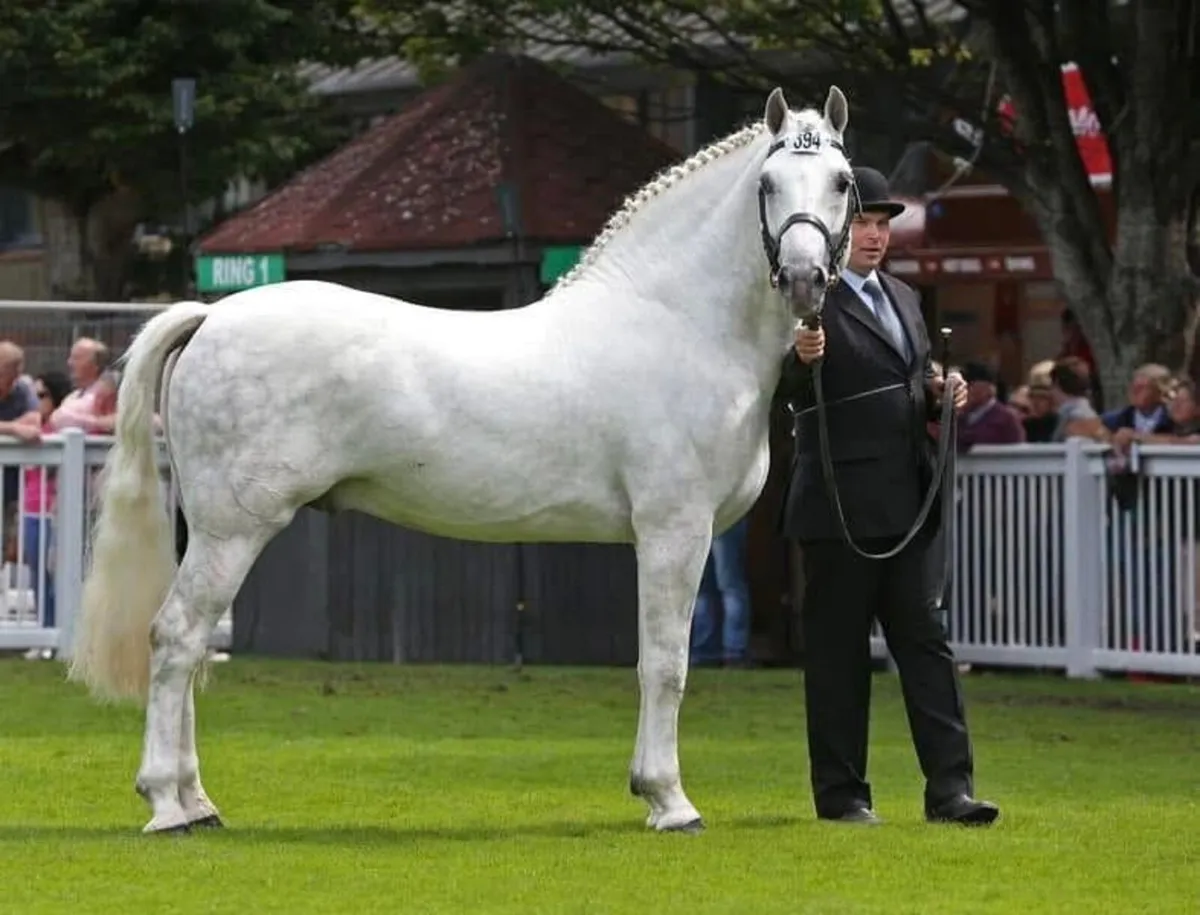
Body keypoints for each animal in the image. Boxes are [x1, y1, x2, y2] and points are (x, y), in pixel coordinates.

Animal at [68, 84, 859, 835]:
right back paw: (167, 804)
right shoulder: (674, 531)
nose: (804, 279)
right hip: (234, 529)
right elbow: (665, 664)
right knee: (175, 638)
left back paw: (197, 800)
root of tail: (210, 316)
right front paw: (669, 799)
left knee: (193, 644)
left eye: (843, 181)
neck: (675, 323)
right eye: (768, 183)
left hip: (207, 530)